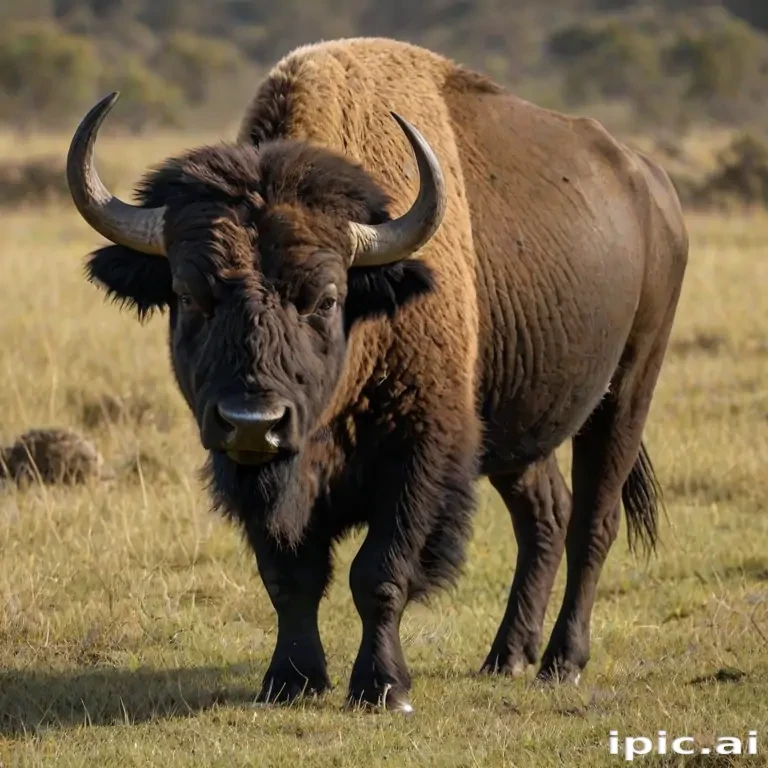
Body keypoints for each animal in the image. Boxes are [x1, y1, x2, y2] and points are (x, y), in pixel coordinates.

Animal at [66, 37, 688, 712]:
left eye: (326, 298)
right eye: (188, 294)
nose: (254, 421)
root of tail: (653, 187)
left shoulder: (419, 456)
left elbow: (380, 574)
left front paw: (384, 687)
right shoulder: (262, 477)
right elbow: (290, 577)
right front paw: (290, 680)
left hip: (627, 392)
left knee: (591, 523)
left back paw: (562, 662)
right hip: (521, 433)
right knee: (544, 518)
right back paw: (507, 657)